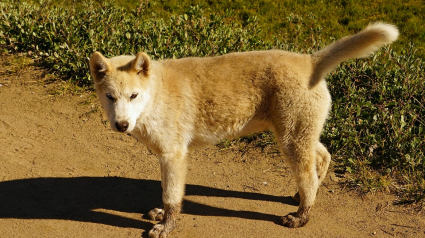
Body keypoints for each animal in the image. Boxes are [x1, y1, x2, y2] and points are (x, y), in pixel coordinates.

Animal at [88, 21, 398, 236]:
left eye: (133, 96)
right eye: (110, 97)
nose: (122, 125)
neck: (156, 93)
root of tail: (310, 62)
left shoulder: (174, 155)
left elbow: (172, 197)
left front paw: (166, 226)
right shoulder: (166, 157)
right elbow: (167, 193)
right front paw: (161, 215)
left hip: (291, 138)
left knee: (309, 175)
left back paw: (301, 215)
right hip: (301, 132)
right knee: (321, 158)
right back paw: (302, 198)